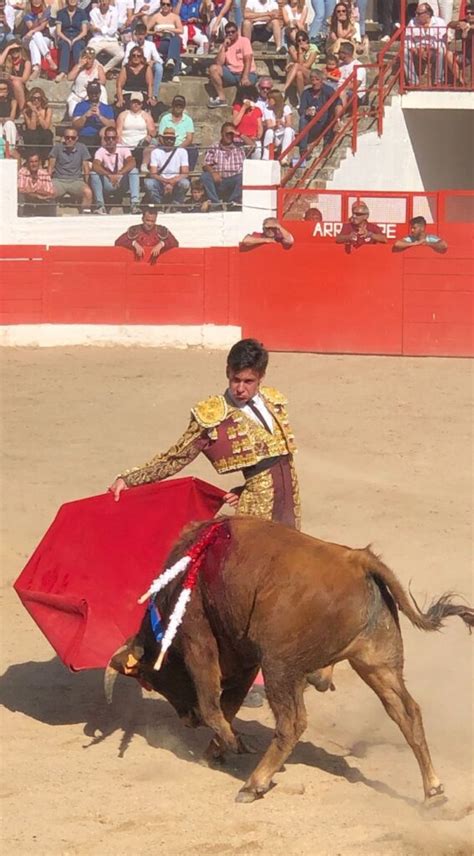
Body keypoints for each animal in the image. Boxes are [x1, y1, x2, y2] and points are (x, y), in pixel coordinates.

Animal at [105, 516, 472, 804]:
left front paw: (231, 744)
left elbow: (213, 704)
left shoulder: (201, 642)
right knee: (407, 712)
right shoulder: (245, 658)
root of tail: (358, 560)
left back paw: (254, 784)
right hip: (376, 662)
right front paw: (218, 748)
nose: (186, 720)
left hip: (281, 665)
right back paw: (434, 792)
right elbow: (229, 705)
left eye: (152, 680)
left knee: (292, 722)